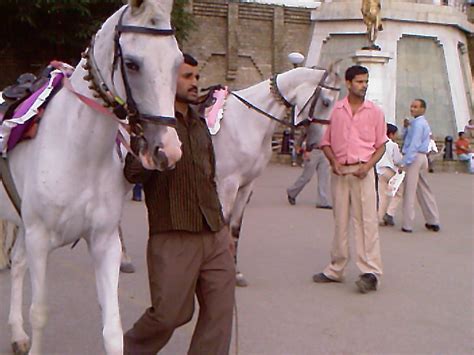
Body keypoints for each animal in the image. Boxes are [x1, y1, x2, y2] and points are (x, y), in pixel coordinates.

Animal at [0, 1, 182, 354]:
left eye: (178, 62)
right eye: (131, 64)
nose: (167, 150)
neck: (78, 151)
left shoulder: (104, 242)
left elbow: (112, 328)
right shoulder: (39, 238)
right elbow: (39, 312)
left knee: (17, 265)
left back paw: (16, 333)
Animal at [214, 64, 340, 286]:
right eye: (326, 102)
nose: (319, 143)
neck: (246, 121)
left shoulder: (246, 185)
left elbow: (235, 227)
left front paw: (236, 273)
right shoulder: (227, 184)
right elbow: (225, 224)